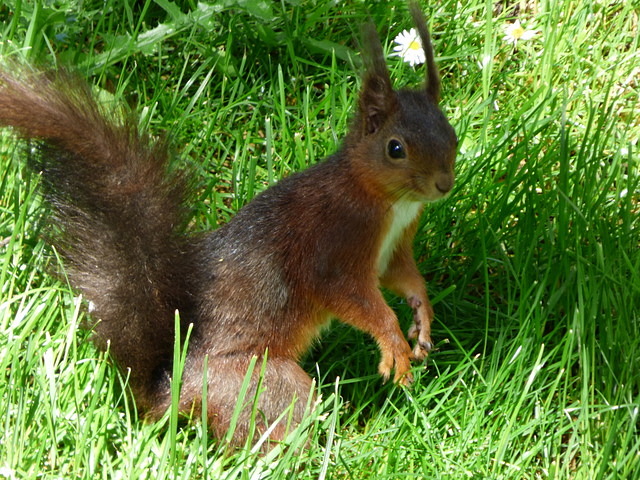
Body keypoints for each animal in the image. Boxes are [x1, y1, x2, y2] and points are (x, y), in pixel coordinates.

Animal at [0, 3, 456, 445]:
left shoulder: (394, 249)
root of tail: (174, 389)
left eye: (450, 133)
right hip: (259, 387)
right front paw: (393, 345)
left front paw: (422, 319)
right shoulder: (333, 245)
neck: (387, 201)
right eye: (395, 148)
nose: (444, 184)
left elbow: (404, 278)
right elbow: (350, 296)